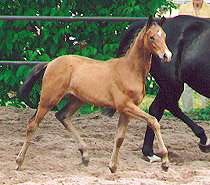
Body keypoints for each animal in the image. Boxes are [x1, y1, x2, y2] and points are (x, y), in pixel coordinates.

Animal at [16, 16, 172, 173]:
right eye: (151, 37)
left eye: (164, 36)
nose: (167, 56)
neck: (130, 70)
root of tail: (50, 63)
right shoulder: (125, 106)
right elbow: (153, 121)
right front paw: (165, 161)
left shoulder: (126, 110)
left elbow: (120, 138)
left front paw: (113, 166)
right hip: (49, 99)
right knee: (32, 125)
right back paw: (18, 162)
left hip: (77, 100)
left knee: (62, 116)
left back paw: (85, 155)